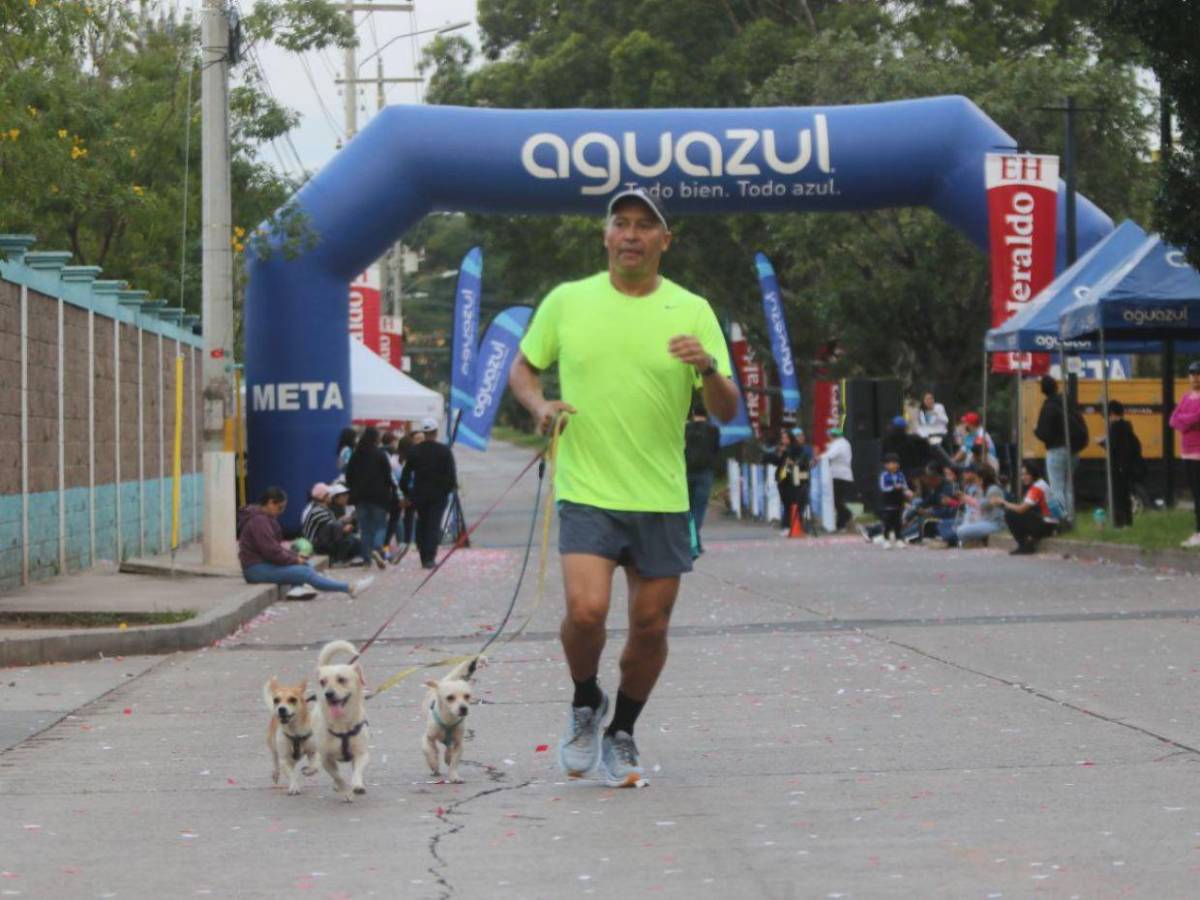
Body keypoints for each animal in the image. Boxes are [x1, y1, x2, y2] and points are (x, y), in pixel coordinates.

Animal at [312, 643, 367, 801]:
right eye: (322, 682)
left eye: (342, 679)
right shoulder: (326, 759)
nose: (328, 694)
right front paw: (346, 791)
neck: (342, 724)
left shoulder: (362, 752)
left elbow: (357, 771)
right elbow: (338, 777)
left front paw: (357, 785)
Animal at [420, 657, 480, 787]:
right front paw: (434, 764)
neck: (449, 720)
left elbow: (454, 762)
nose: (464, 708)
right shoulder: (427, 738)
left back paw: (447, 757)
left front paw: (454, 776)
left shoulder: (458, 743)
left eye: (467, 696)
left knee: (448, 749)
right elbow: (430, 752)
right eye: (450, 697)